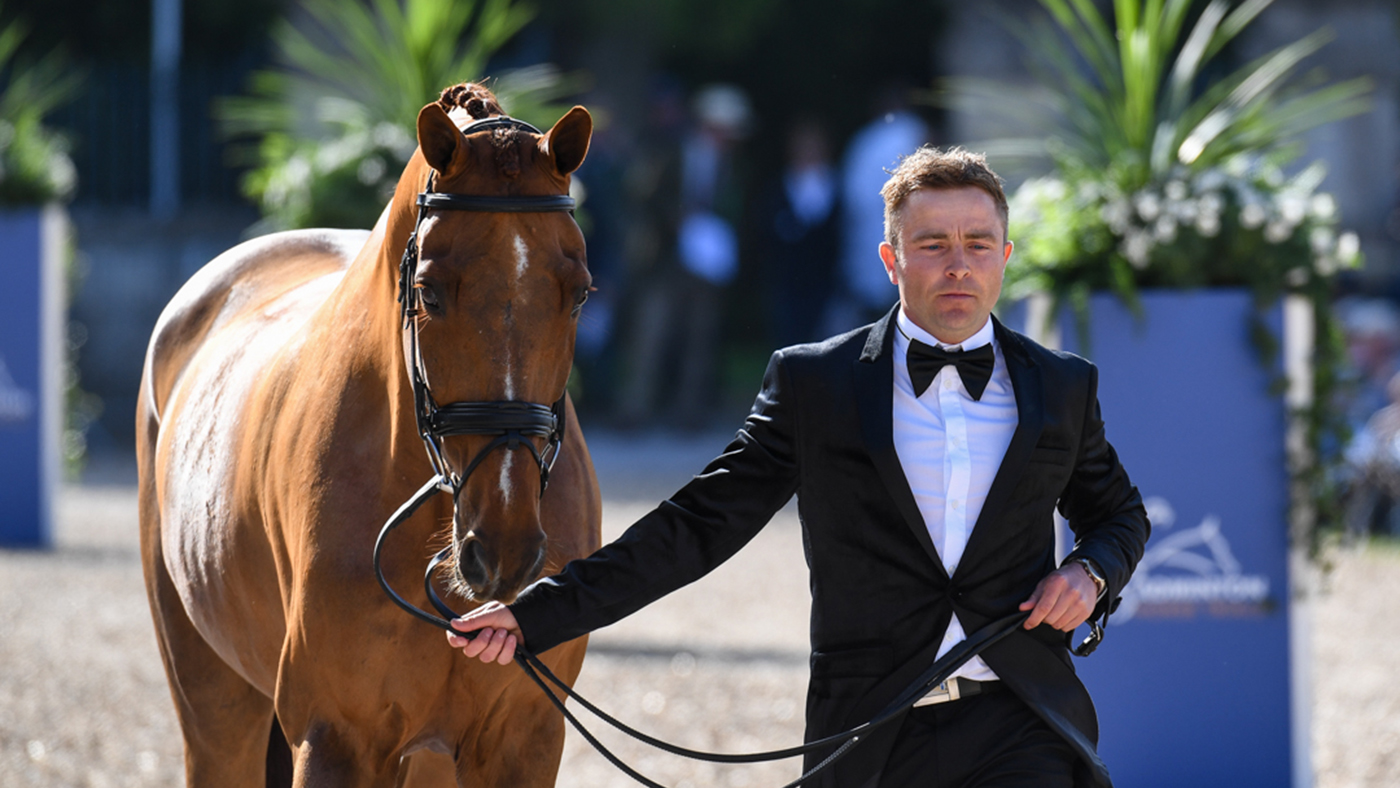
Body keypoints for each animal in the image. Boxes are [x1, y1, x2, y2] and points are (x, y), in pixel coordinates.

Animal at [137, 82, 601, 786]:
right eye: (429, 292)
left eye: (577, 294)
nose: (505, 551)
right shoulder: (336, 740)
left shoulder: (523, 743)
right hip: (213, 707)